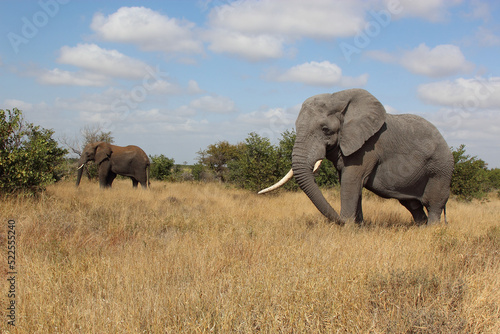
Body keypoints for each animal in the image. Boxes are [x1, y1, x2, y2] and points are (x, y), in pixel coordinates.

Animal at [260, 88, 456, 224]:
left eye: (325, 130)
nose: (339, 219)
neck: (338, 98)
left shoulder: (368, 147)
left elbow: (351, 182)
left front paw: (347, 225)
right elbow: (350, 183)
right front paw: (357, 226)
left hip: (440, 169)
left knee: (434, 204)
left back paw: (431, 230)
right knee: (413, 206)